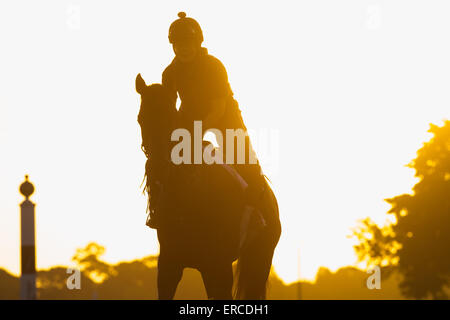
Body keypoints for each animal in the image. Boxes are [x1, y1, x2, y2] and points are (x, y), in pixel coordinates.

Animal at [134, 74, 282, 300]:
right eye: (141, 119)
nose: (157, 167)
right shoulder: (169, 266)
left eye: (171, 119)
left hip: (260, 261)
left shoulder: (219, 268)